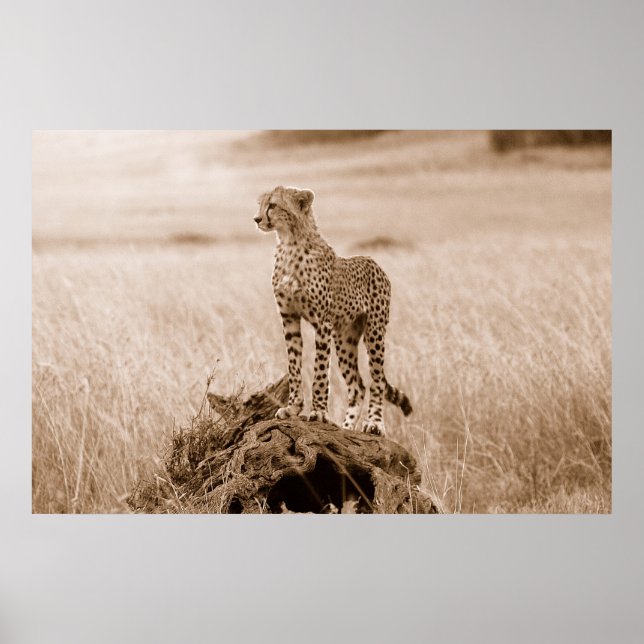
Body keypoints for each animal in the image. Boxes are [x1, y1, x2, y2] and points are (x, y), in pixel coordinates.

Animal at [254, 185, 412, 436]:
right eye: (260, 204)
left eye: (273, 205)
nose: (257, 219)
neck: (289, 242)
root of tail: (372, 260)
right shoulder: (289, 318)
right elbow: (294, 366)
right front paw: (293, 408)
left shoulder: (322, 322)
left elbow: (320, 371)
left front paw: (318, 412)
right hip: (344, 338)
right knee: (357, 386)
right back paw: (345, 426)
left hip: (374, 331)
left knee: (376, 380)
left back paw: (374, 423)